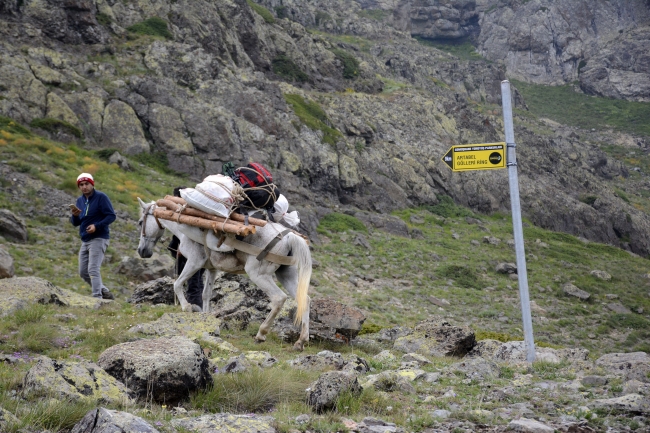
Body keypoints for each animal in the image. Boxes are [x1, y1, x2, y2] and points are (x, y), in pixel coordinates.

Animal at [135, 197, 310, 350]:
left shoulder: (194, 262)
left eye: (140, 222)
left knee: (279, 298)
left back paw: (261, 334)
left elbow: (177, 284)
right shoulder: (211, 269)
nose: (142, 251)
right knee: (305, 300)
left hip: (259, 275)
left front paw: (186, 307)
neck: (185, 224)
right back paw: (301, 341)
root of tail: (289, 236)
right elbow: (206, 294)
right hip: (286, 274)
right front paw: (206, 318)